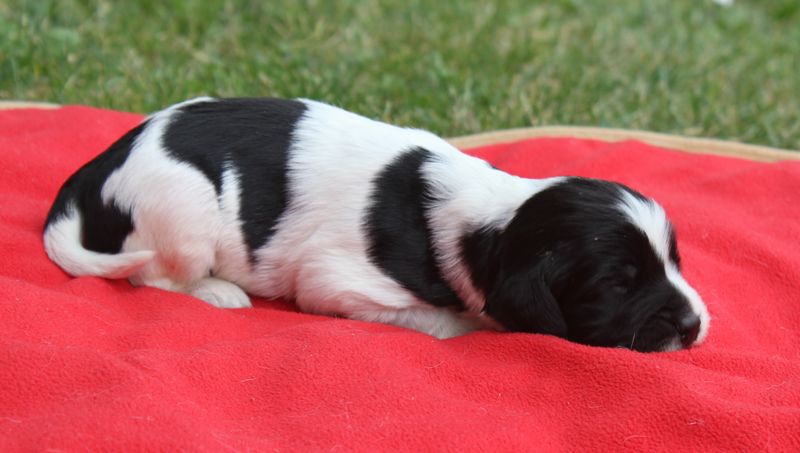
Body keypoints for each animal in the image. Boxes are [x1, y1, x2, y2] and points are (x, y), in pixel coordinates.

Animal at [43, 97, 710, 351]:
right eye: (617, 284)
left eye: (676, 261)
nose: (696, 325)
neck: (493, 221)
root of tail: (104, 161)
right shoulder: (334, 282)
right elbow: (438, 320)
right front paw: (466, 326)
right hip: (185, 209)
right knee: (152, 276)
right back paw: (217, 291)